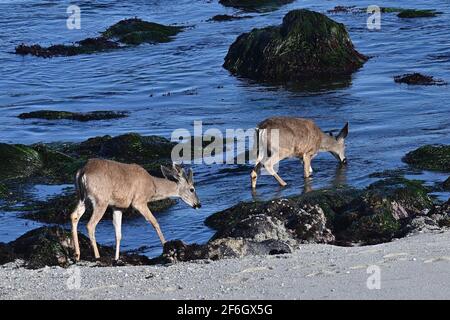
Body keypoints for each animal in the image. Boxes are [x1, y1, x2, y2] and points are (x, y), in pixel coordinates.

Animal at [70, 159, 200, 262]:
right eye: (192, 189)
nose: (198, 204)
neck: (152, 187)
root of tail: (82, 172)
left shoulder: (118, 206)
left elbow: (118, 234)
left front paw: (116, 258)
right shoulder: (139, 201)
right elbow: (155, 222)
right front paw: (166, 246)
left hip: (82, 197)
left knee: (74, 216)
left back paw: (77, 255)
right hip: (101, 200)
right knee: (90, 225)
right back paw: (97, 256)